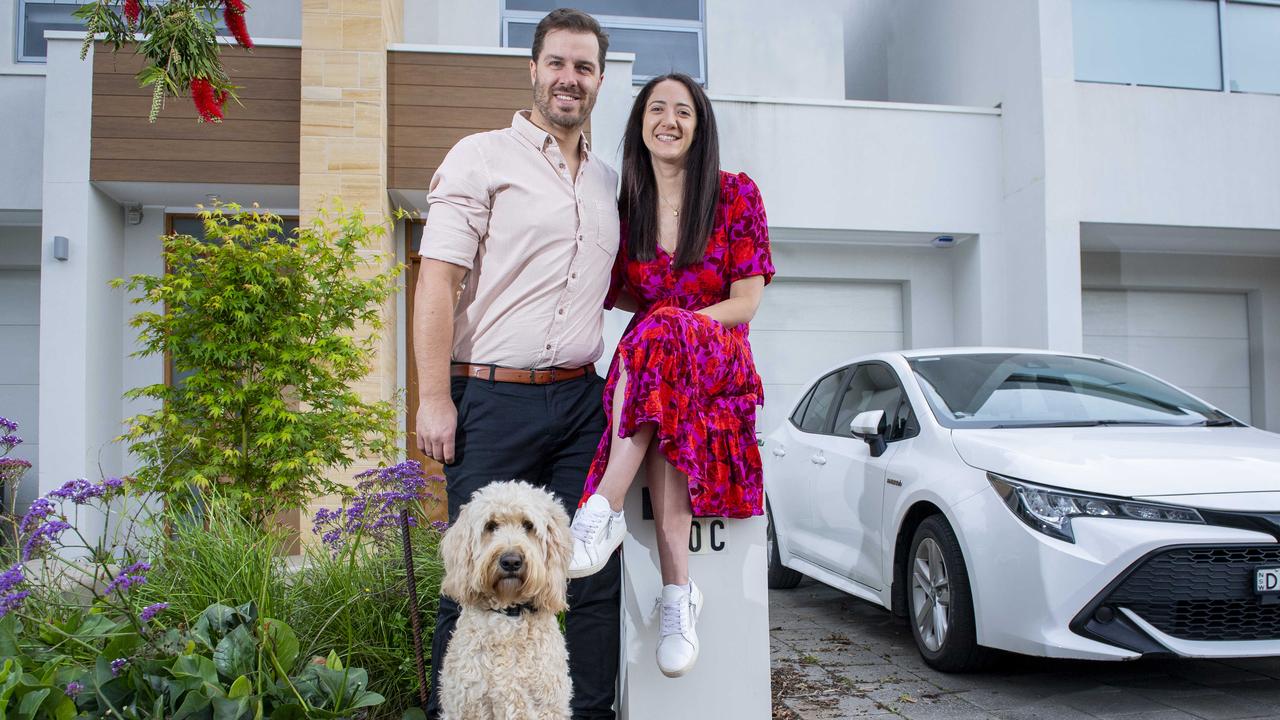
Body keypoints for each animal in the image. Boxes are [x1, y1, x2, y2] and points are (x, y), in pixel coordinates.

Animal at [437, 476, 573, 717]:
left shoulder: (547, 704)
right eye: (491, 526)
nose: (511, 561)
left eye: (528, 525)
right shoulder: (473, 704)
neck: (509, 613)